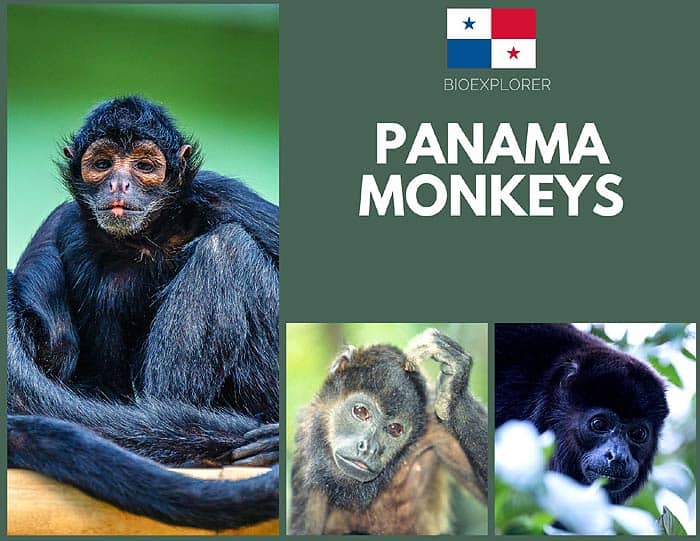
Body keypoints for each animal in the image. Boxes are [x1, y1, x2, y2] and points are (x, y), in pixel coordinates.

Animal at [7, 96, 279, 529]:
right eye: (103, 164)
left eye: (145, 166)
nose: (119, 184)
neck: (142, 241)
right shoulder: (65, 223)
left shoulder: (225, 196)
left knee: (226, 247)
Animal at [289, 329, 487, 535]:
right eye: (361, 412)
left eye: (394, 429)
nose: (369, 449)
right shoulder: (305, 442)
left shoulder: (438, 427)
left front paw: (454, 381)